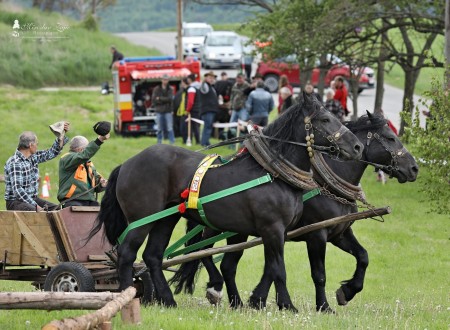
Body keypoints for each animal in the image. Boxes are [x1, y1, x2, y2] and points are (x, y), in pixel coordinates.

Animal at [89, 93, 362, 312]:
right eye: (325, 119)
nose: (358, 147)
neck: (273, 173)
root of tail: (127, 163)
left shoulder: (273, 232)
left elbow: (264, 267)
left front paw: (251, 301)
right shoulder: (273, 229)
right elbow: (279, 269)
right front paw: (286, 305)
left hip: (166, 218)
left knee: (152, 256)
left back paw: (168, 300)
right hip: (142, 219)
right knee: (127, 254)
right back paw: (127, 297)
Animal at [169, 111, 418, 312]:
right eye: (390, 138)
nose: (414, 168)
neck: (326, 184)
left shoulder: (338, 232)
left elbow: (363, 256)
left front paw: (347, 292)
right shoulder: (316, 235)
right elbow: (317, 274)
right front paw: (323, 306)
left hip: (238, 231)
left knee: (226, 265)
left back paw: (234, 300)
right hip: (219, 226)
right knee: (201, 252)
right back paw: (215, 288)